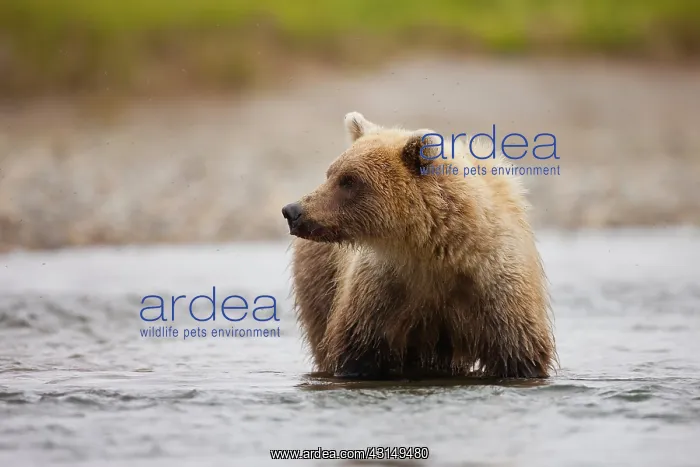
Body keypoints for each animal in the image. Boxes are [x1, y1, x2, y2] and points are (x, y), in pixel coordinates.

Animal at [282, 112, 556, 380]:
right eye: (331, 174)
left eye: (349, 180)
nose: (293, 211)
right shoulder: (383, 290)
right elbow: (357, 349)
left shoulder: (496, 284)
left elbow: (519, 353)